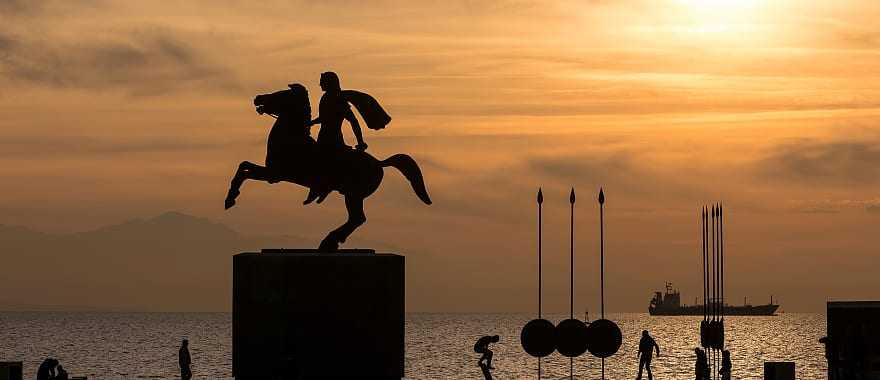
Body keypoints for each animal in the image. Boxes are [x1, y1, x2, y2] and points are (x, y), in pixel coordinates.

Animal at [222, 84, 432, 249]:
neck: (292, 139)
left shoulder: (275, 175)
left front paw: (230, 199)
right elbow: (243, 166)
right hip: (353, 195)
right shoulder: (273, 175)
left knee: (358, 218)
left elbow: (245, 171)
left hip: (353, 195)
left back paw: (329, 241)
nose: (257, 98)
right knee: (356, 219)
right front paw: (230, 198)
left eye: (281, 93)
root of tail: (380, 163)